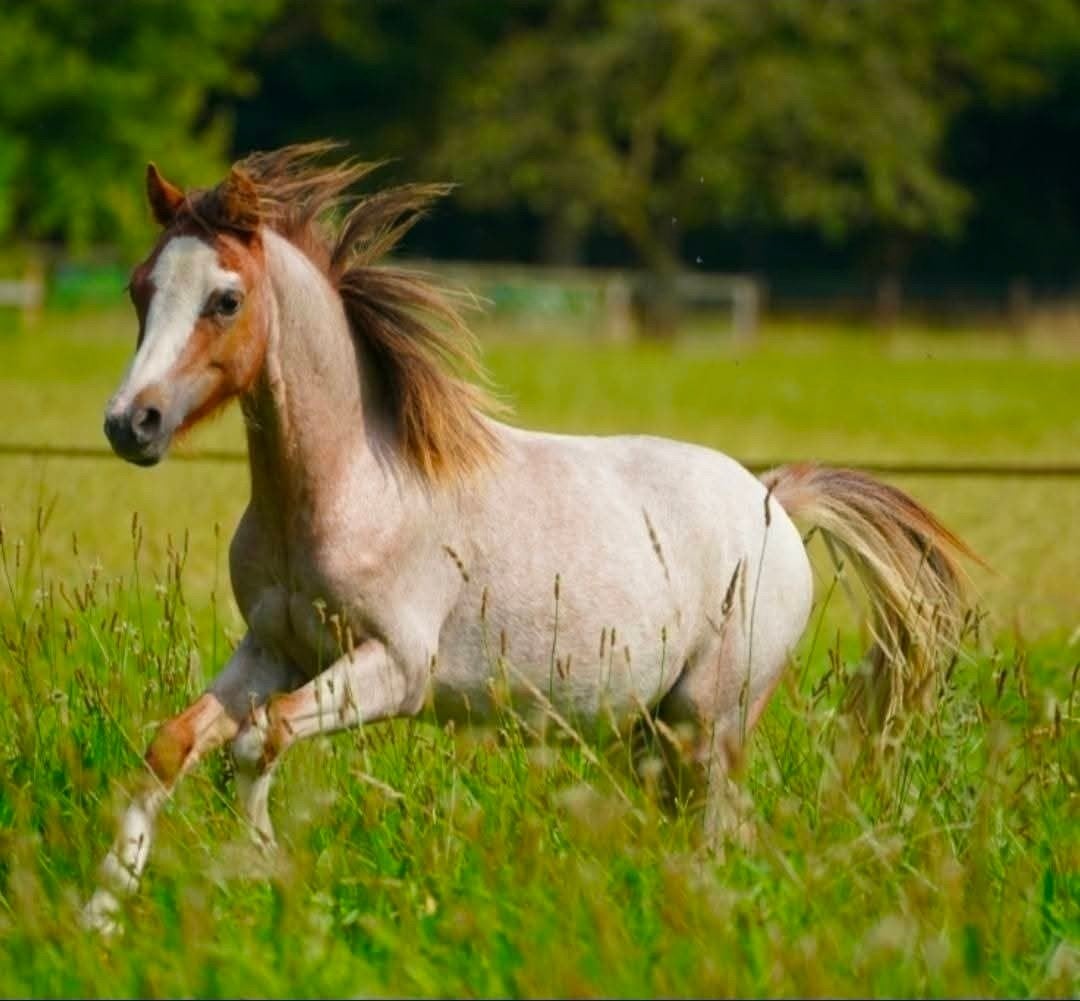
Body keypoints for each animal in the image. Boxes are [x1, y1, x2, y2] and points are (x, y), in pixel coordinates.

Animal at [84, 143, 973, 932]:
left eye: (225, 299)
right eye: (138, 287)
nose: (132, 423)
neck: (351, 487)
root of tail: (774, 499)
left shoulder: (393, 668)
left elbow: (256, 739)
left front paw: (262, 863)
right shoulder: (277, 646)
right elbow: (176, 744)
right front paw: (102, 912)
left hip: (712, 722)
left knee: (726, 827)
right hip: (655, 730)